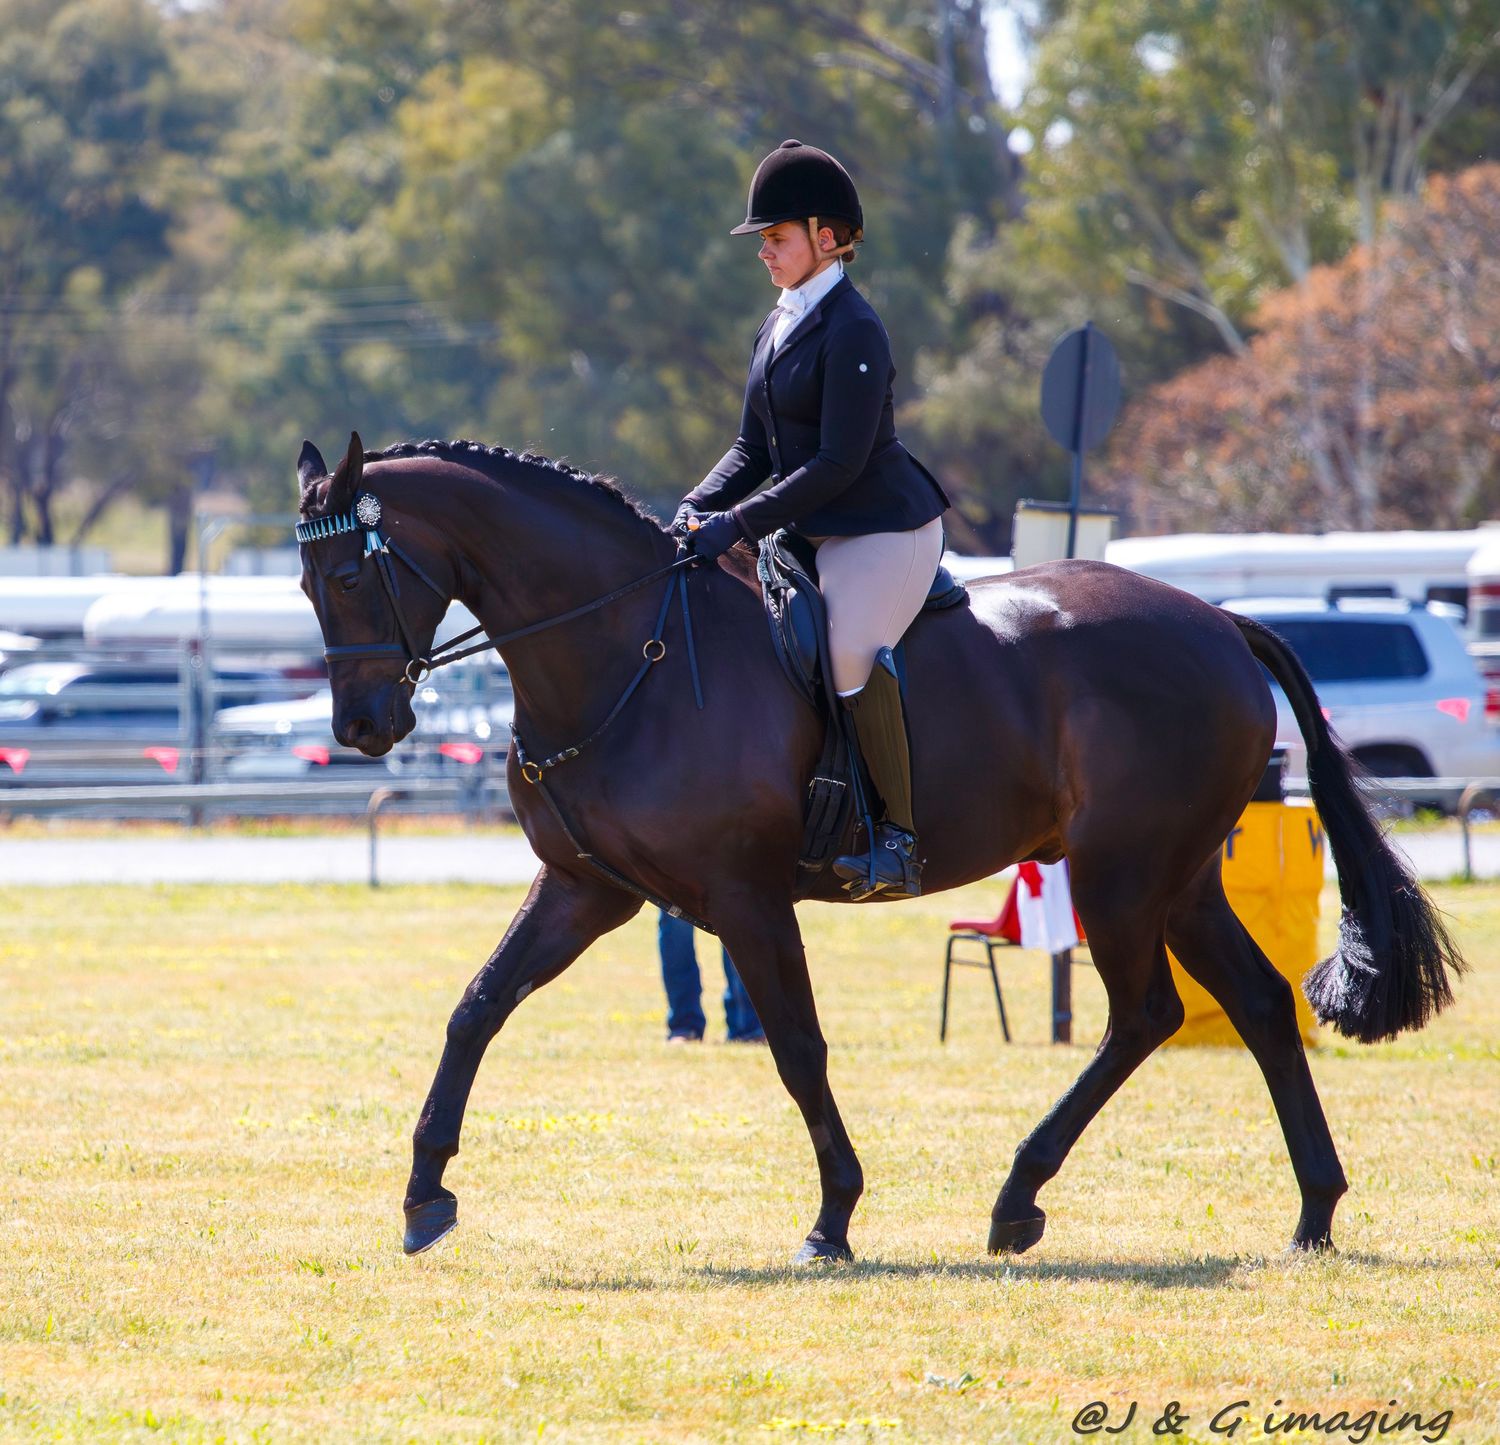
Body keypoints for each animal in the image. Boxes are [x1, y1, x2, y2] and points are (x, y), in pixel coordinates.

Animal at [294, 432, 1464, 1262]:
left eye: (352, 576)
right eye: (309, 586)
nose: (362, 727)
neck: (628, 648)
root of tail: (1223, 622)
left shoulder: (744, 898)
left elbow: (797, 1047)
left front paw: (834, 1216)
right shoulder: (587, 887)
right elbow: (477, 1006)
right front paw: (425, 1194)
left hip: (1120, 874)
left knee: (1146, 1015)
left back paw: (1017, 1198)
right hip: (1173, 878)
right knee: (1259, 1004)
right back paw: (1313, 1212)